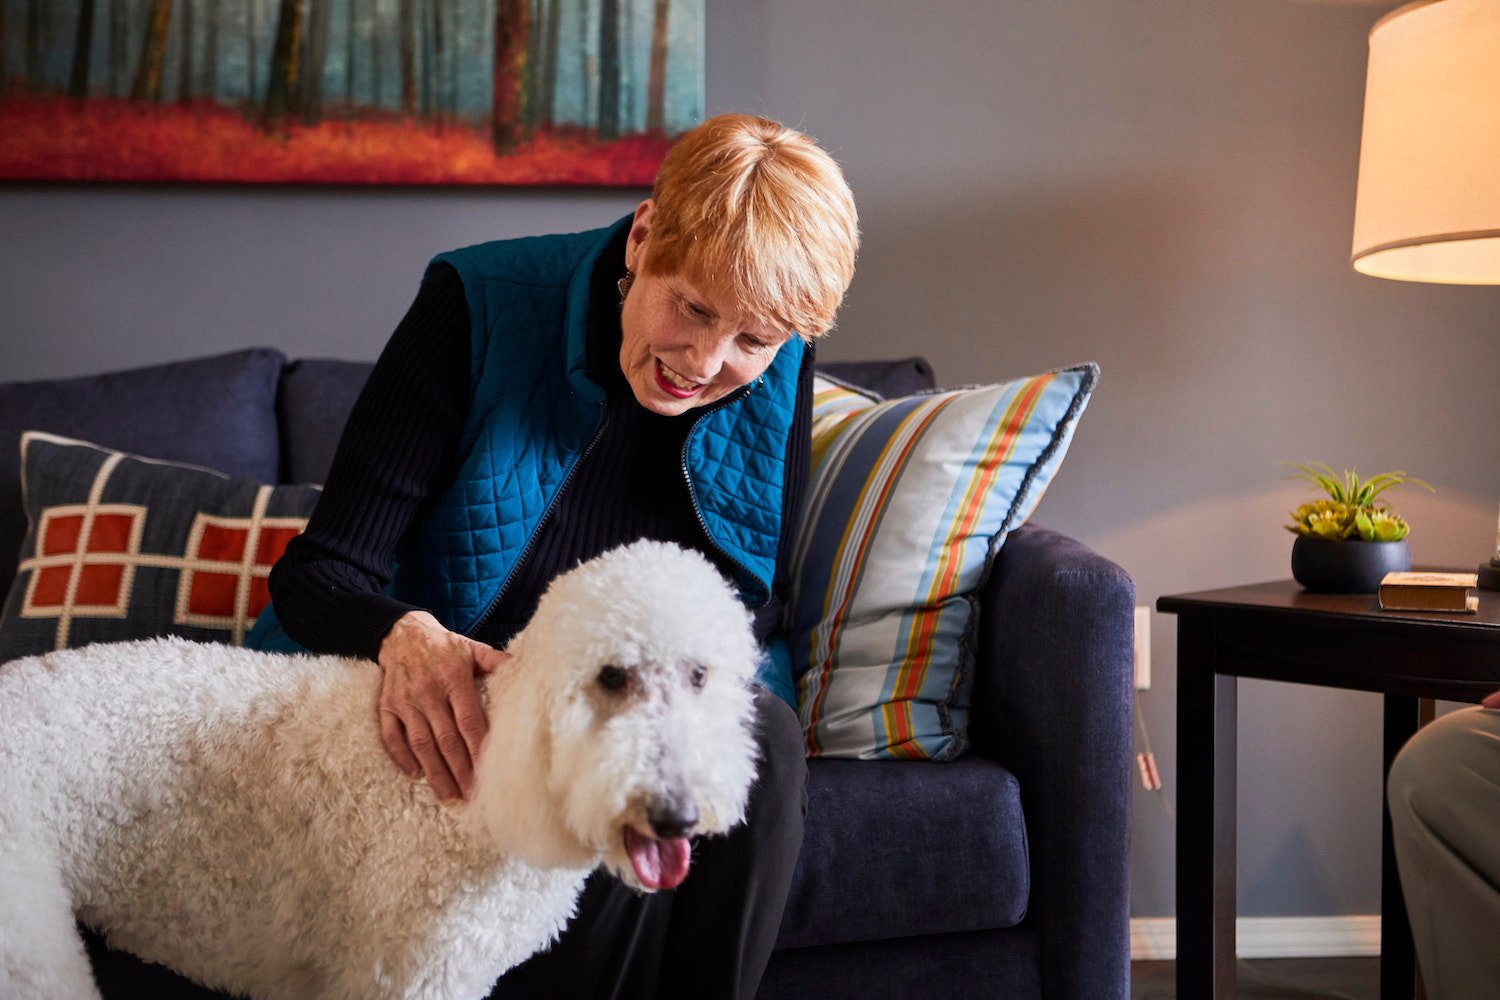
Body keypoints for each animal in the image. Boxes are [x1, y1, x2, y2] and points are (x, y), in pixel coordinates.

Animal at [0, 539, 762, 1000]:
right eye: (611, 676)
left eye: (700, 676)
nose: (676, 814)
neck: (482, 800)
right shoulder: (405, 975)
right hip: (29, 939)